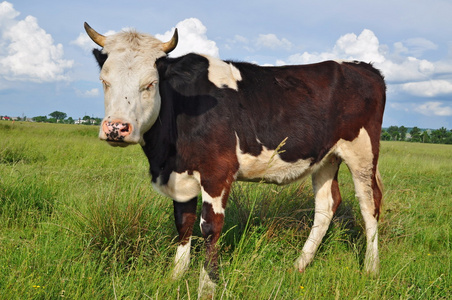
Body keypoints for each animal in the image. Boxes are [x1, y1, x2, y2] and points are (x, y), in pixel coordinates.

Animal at [84, 22, 384, 298]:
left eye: (150, 84)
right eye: (104, 81)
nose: (116, 128)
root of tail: (363, 67)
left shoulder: (217, 172)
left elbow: (209, 228)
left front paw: (207, 285)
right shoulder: (180, 176)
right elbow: (183, 223)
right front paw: (175, 276)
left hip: (363, 152)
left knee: (369, 204)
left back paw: (371, 268)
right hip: (326, 158)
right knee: (326, 205)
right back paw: (299, 265)